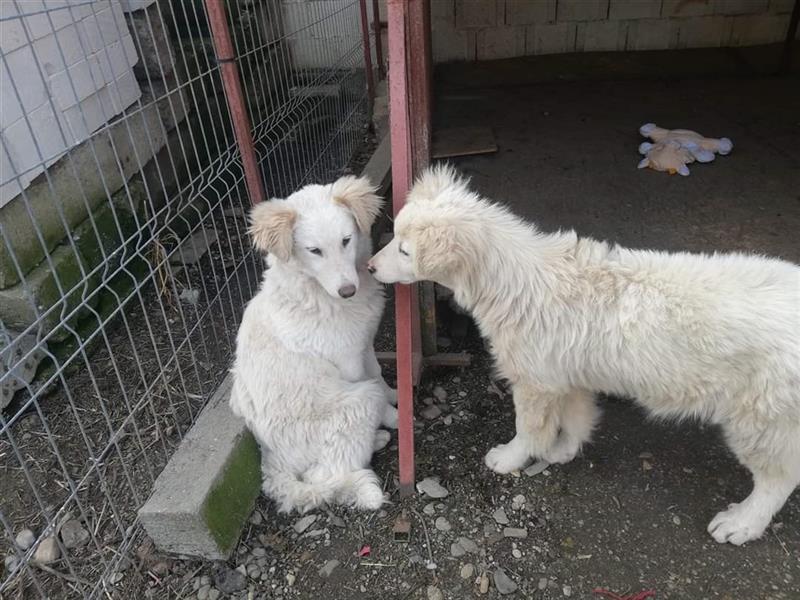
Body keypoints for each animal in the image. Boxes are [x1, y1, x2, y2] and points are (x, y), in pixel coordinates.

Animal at [231, 176, 396, 512]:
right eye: (314, 250)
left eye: (346, 240)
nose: (347, 290)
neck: (315, 292)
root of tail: (271, 462)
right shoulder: (349, 364)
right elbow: (376, 388)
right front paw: (397, 417)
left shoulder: (364, 344)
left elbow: (379, 376)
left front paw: (397, 395)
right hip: (356, 403)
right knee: (322, 474)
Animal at [368, 164, 800, 544]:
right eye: (394, 238)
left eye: (404, 251)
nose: (370, 267)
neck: (512, 280)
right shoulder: (567, 375)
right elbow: (576, 418)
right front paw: (562, 451)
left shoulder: (535, 382)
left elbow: (529, 429)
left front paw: (510, 458)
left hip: (761, 419)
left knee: (778, 479)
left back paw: (741, 523)